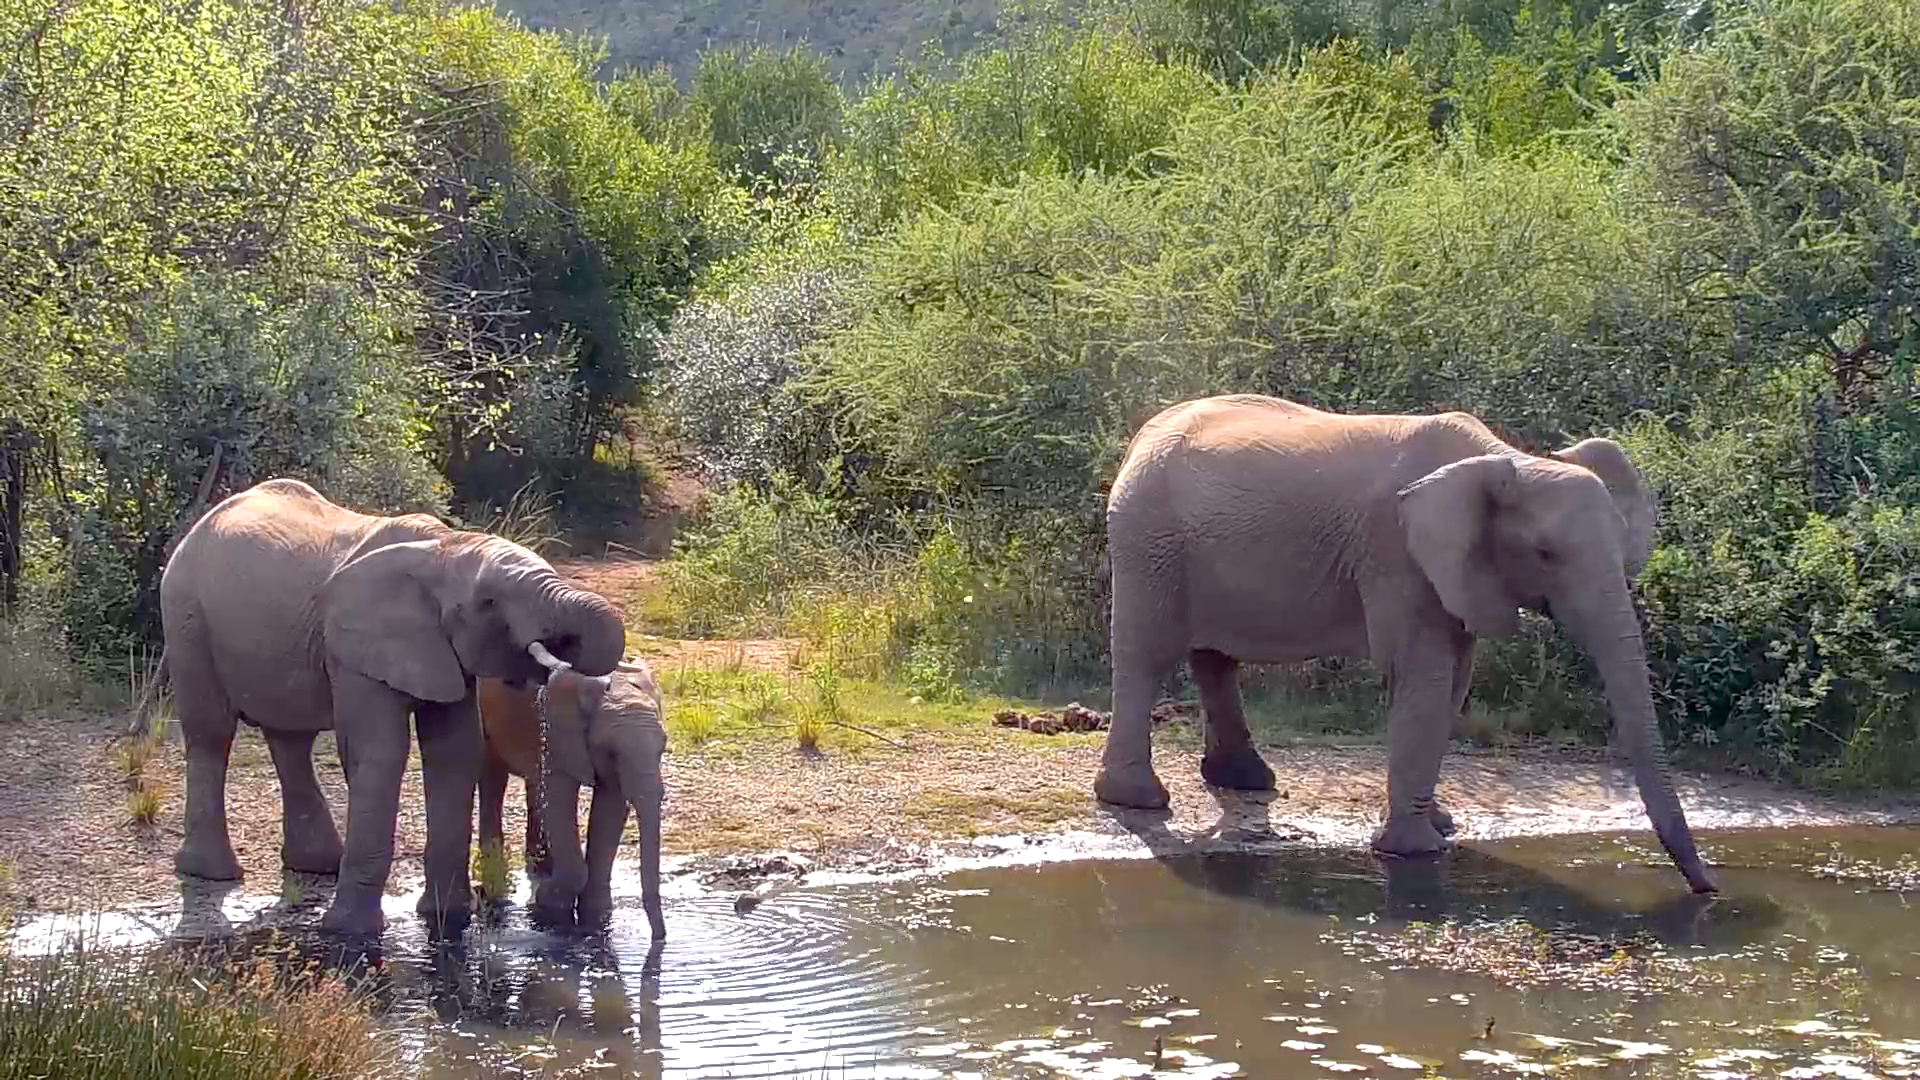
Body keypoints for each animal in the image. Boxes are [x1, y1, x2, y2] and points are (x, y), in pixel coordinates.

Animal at [157, 478, 626, 937]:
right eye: (488, 603)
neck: (445, 548)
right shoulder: (357, 644)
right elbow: (380, 752)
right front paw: (350, 935)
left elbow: (454, 752)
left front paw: (445, 919)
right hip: (186, 614)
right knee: (211, 733)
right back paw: (211, 873)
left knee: (290, 739)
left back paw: (318, 865)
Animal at [475, 652, 668, 939]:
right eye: (611, 751)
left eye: (662, 748)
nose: (660, 938)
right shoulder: (554, 727)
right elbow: (559, 796)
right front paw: (549, 903)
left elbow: (610, 808)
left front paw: (597, 916)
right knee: (493, 778)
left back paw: (539, 869)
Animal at [1094, 394, 1716, 894]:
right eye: (1545, 554)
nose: (1707, 891)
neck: (1506, 459)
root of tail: (1143, 435)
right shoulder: (1397, 553)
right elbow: (1425, 670)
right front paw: (1417, 850)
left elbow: (1455, 677)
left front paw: (1440, 827)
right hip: (1148, 535)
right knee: (1146, 655)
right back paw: (1138, 800)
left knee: (1215, 657)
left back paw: (1246, 781)